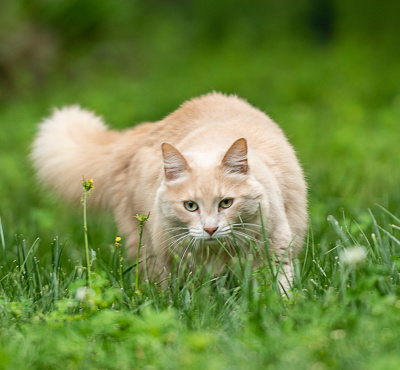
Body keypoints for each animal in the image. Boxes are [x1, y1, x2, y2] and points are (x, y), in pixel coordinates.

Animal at [32, 93, 308, 292]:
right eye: (190, 206)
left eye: (226, 203)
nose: (210, 229)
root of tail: (142, 130)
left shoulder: (277, 252)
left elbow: (277, 292)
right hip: (144, 249)